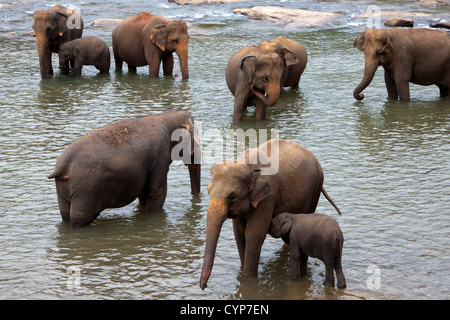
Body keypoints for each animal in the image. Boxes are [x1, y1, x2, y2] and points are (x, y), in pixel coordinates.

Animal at [46, 110, 200, 228]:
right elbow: (156, 191)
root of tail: (63, 165)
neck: (166, 116)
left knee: (65, 215)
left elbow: (144, 192)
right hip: (86, 190)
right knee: (80, 218)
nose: (196, 197)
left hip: (63, 187)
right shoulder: (160, 157)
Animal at [200, 139, 342, 290]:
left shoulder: (268, 197)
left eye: (232, 196)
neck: (244, 163)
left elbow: (254, 233)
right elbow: (239, 233)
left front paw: (248, 278)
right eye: (208, 191)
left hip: (315, 190)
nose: (204, 286)